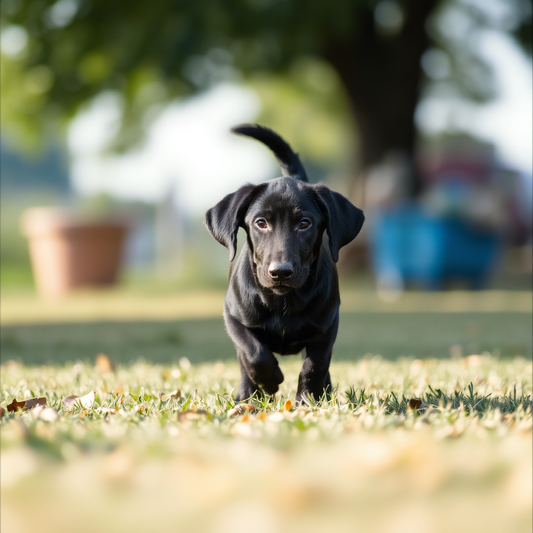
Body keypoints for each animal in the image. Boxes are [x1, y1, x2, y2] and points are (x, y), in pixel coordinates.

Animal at [204, 123, 362, 400]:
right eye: (261, 222)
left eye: (304, 223)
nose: (280, 272)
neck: (283, 300)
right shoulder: (233, 317)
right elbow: (254, 354)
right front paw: (269, 381)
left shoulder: (327, 325)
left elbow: (315, 365)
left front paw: (308, 399)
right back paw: (247, 396)